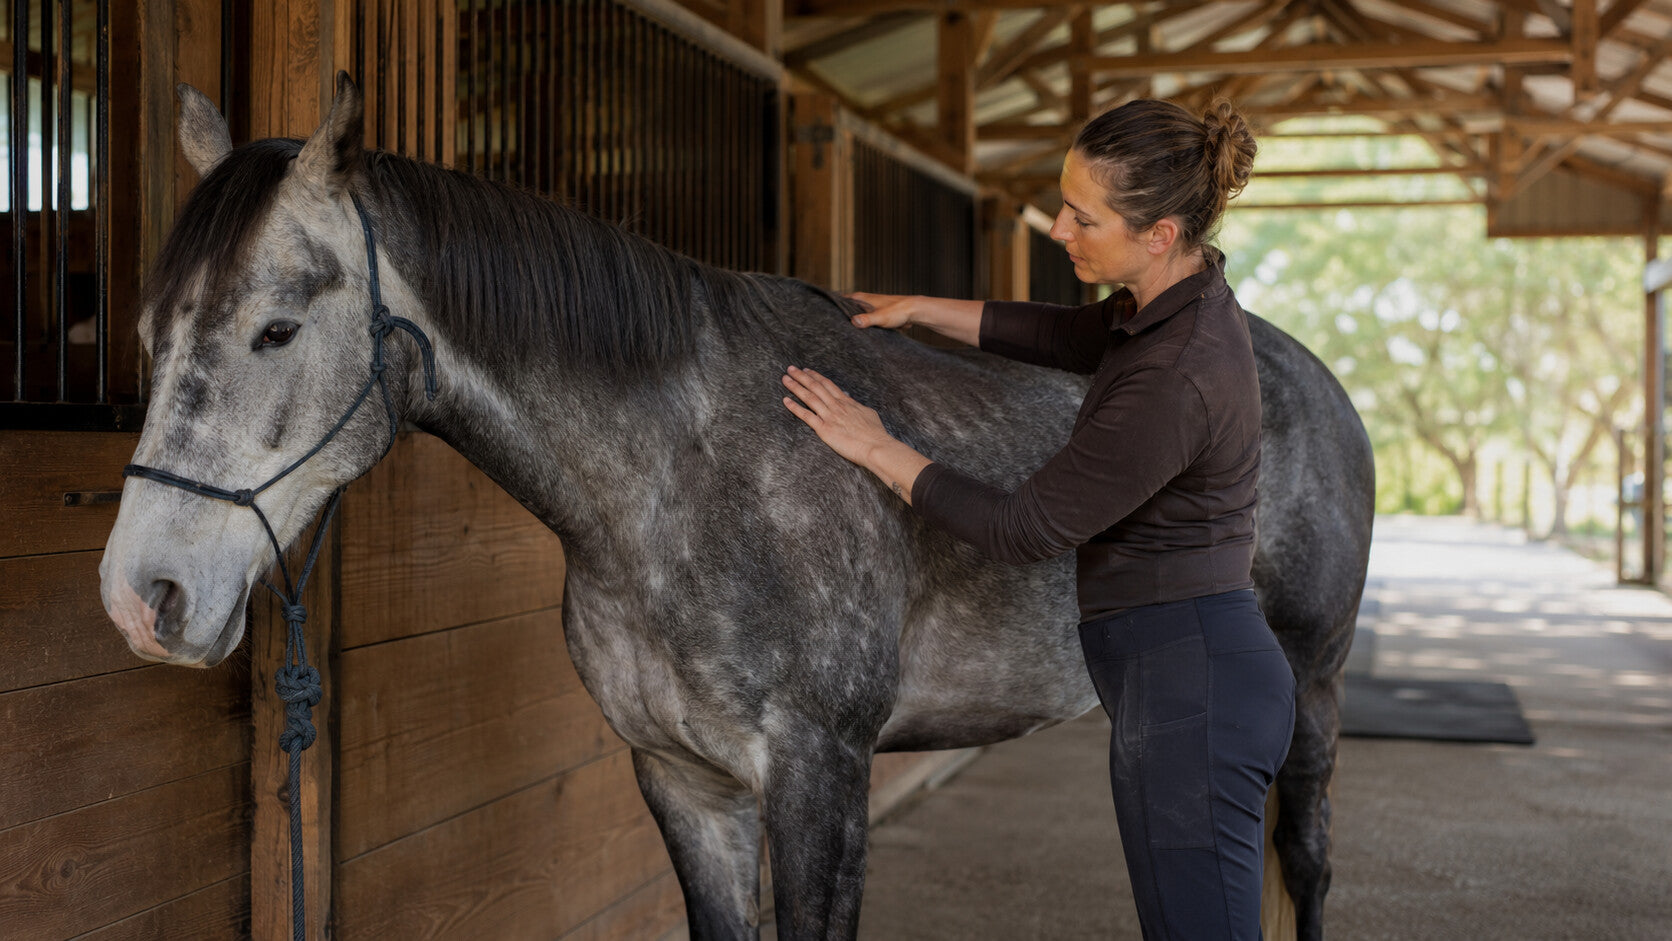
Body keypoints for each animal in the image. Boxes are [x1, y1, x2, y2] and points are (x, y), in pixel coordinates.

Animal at [99, 75, 1372, 941]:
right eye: (151, 330)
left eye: (275, 329)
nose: (140, 597)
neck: (689, 478)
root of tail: (1307, 374)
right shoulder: (680, 777)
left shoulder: (821, 776)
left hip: (1311, 690)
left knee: (1307, 860)